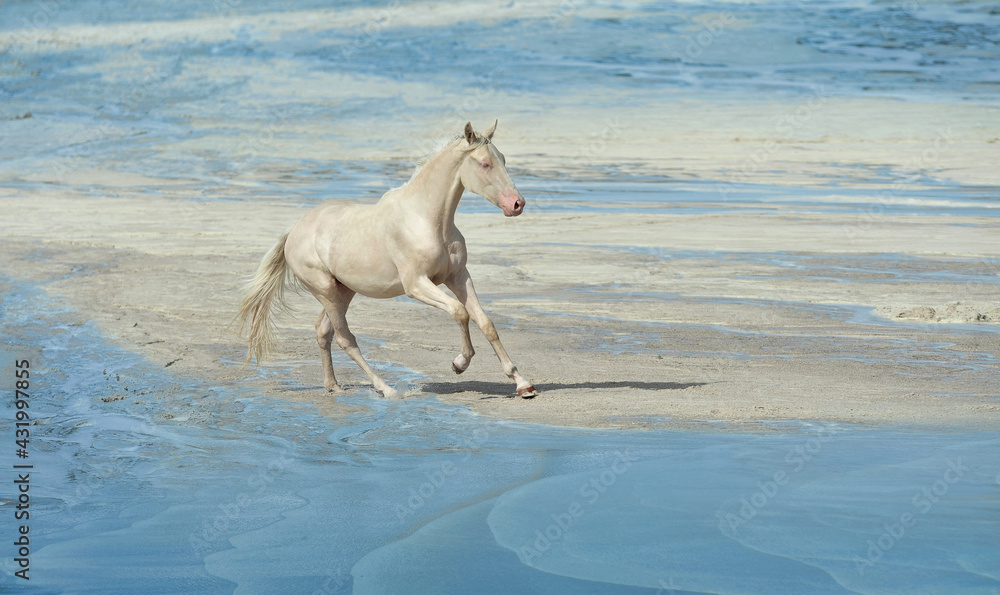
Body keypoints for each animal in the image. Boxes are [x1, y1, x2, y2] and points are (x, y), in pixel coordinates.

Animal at [235, 120, 537, 399]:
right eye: (485, 164)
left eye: (503, 159)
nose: (517, 204)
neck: (426, 219)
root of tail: (294, 230)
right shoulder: (416, 285)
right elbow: (459, 312)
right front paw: (459, 364)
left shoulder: (458, 276)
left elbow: (486, 323)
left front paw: (523, 384)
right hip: (325, 290)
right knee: (345, 339)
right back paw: (387, 389)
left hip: (343, 291)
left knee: (323, 331)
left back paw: (333, 386)